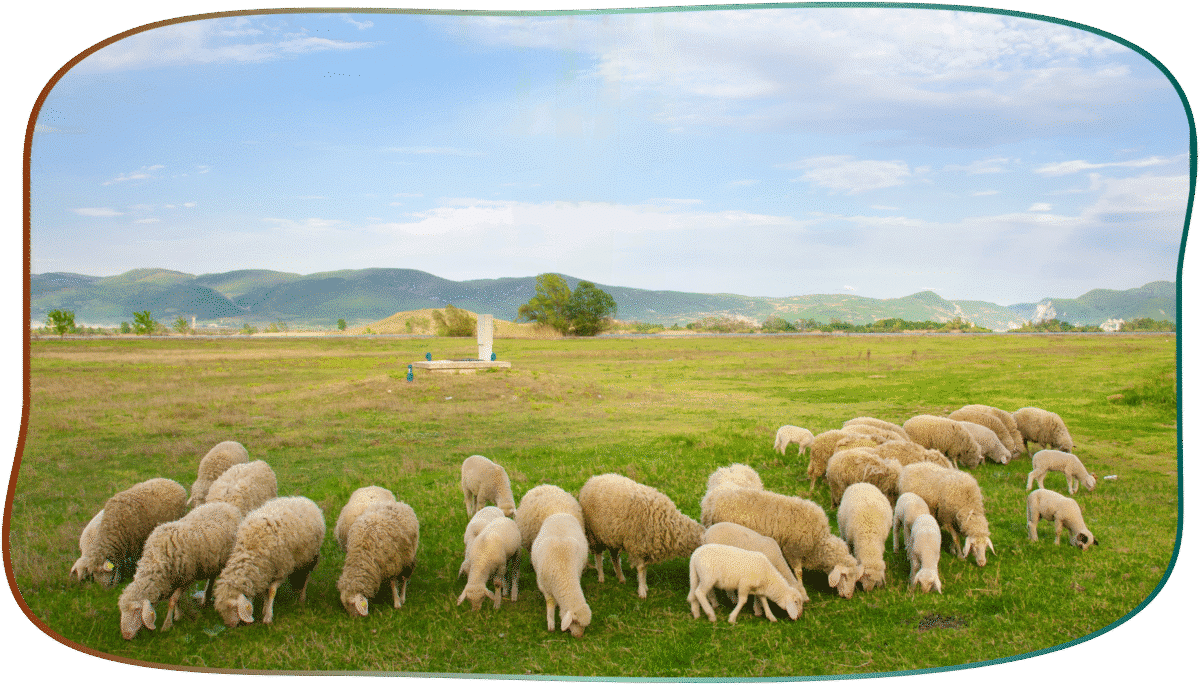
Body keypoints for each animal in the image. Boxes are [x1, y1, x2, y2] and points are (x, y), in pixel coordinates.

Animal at [117, 502, 242, 639]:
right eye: (122, 611)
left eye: (136, 610)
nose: (126, 636)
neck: (156, 560)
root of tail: (224, 504)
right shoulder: (174, 580)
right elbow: (176, 600)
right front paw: (177, 615)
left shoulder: (187, 578)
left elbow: (172, 601)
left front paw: (167, 624)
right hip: (212, 560)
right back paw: (206, 597)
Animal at [212, 496, 325, 627]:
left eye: (232, 607)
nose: (230, 625)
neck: (249, 550)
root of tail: (305, 499)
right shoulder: (264, 571)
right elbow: (265, 592)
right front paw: (264, 608)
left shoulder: (282, 568)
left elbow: (271, 591)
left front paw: (268, 616)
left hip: (309, 558)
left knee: (306, 576)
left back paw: (302, 598)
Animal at [701, 486, 864, 598]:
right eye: (845, 576)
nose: (849, 596)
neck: (818, 541)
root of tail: (712, 502)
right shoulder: (792, 550)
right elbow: (798, 572)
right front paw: (801, 587)